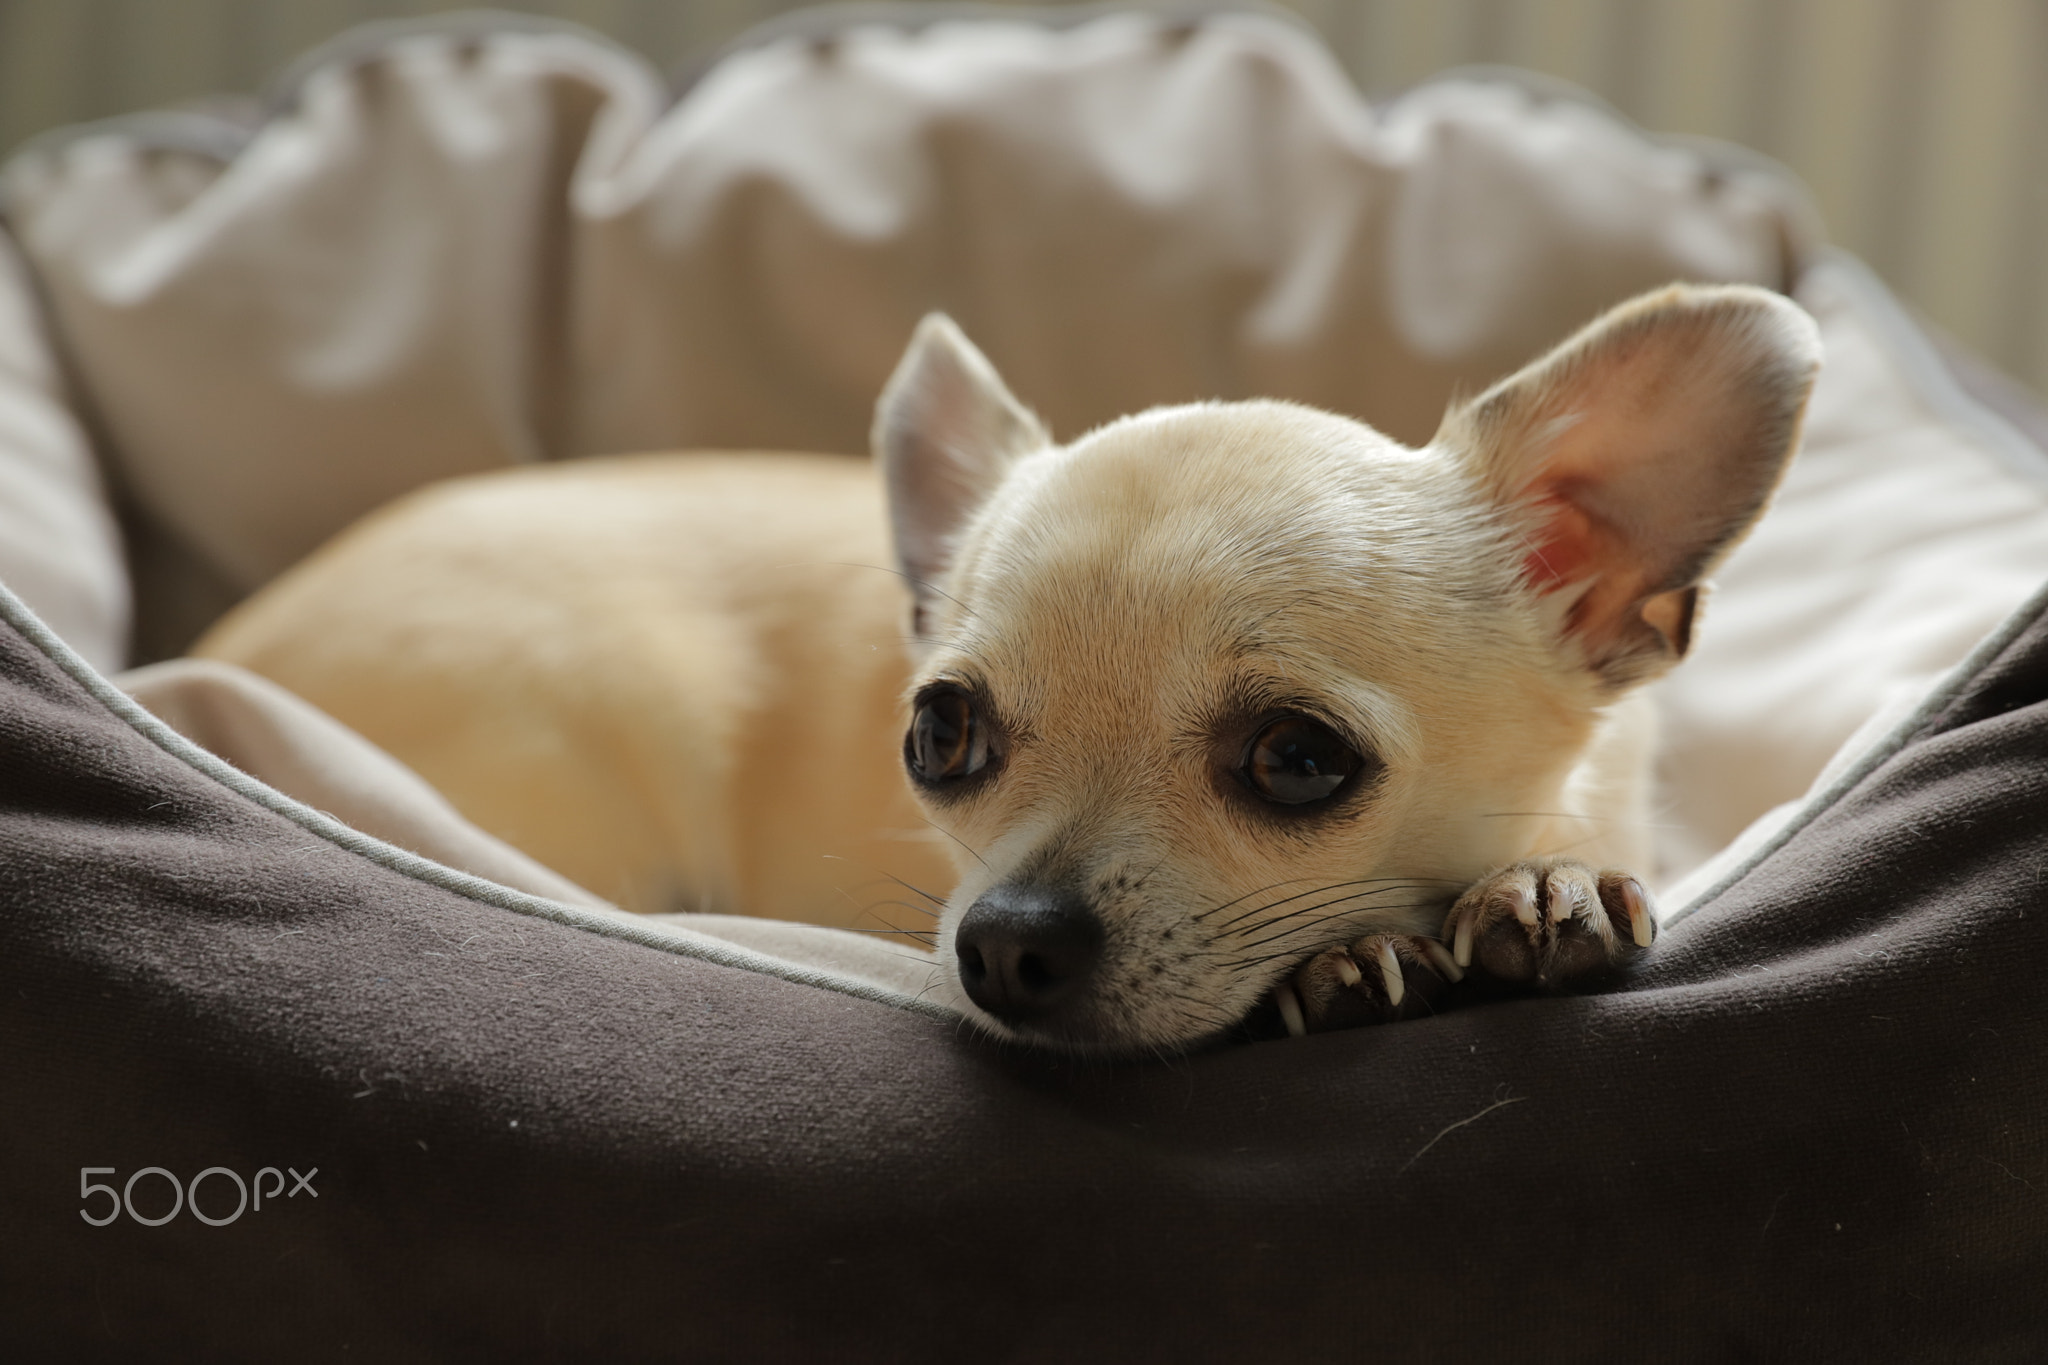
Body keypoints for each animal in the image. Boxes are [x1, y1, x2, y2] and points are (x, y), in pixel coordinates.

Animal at [199, 286, 1818, 1055]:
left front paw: (1538, 887)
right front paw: (1361, 960)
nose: (1004, 943)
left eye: (1298, 760)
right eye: (940, 738)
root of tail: (214, 658)